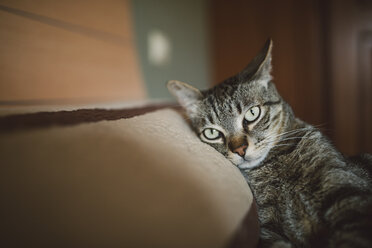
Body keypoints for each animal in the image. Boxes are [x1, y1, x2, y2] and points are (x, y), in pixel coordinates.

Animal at [168, 39, 372, 247]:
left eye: (252, 113)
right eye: (212, 133)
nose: (240, 149)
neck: (276, 166)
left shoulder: (346, 193)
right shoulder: (267, 228)